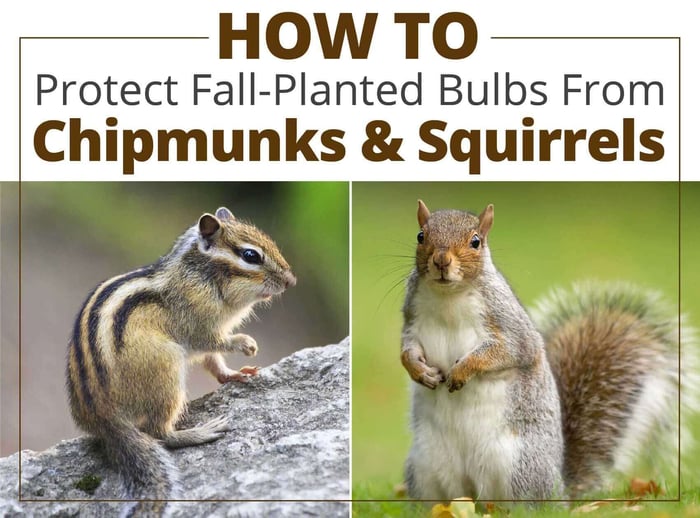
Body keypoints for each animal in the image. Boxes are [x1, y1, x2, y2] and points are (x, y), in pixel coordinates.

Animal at [66, 207, 296, 516]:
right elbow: (214, 344)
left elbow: (214, 362)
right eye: (251, 256)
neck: (200, 275)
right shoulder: (199, 326)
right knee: (158, 433)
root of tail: (103, 417)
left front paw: (234, 374)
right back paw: (201, 432)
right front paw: (246, 343)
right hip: (167, 370)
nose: (291, 281)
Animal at [401, 199, 693, 502]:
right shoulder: (412, 321)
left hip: (518, 467)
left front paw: (462, 371)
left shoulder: (511, 327)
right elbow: (407, 350)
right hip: (424, 469)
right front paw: (419, 371)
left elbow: (507, 352)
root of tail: (560, 489)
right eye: (420, 236)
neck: (449, 296)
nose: (441, 261)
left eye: (475, 241)